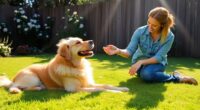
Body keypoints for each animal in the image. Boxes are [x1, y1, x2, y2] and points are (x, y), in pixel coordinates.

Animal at [0, 37, 129, 93]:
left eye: (82, 39)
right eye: (78, 42)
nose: (92, 41)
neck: (76, 66)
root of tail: (13, 79)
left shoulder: (88, 82)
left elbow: (106, 85)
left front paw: (122, 88)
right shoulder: (74, 89)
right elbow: (99, 89)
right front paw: (116, 92)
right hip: (32, 77)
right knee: (16, 87)